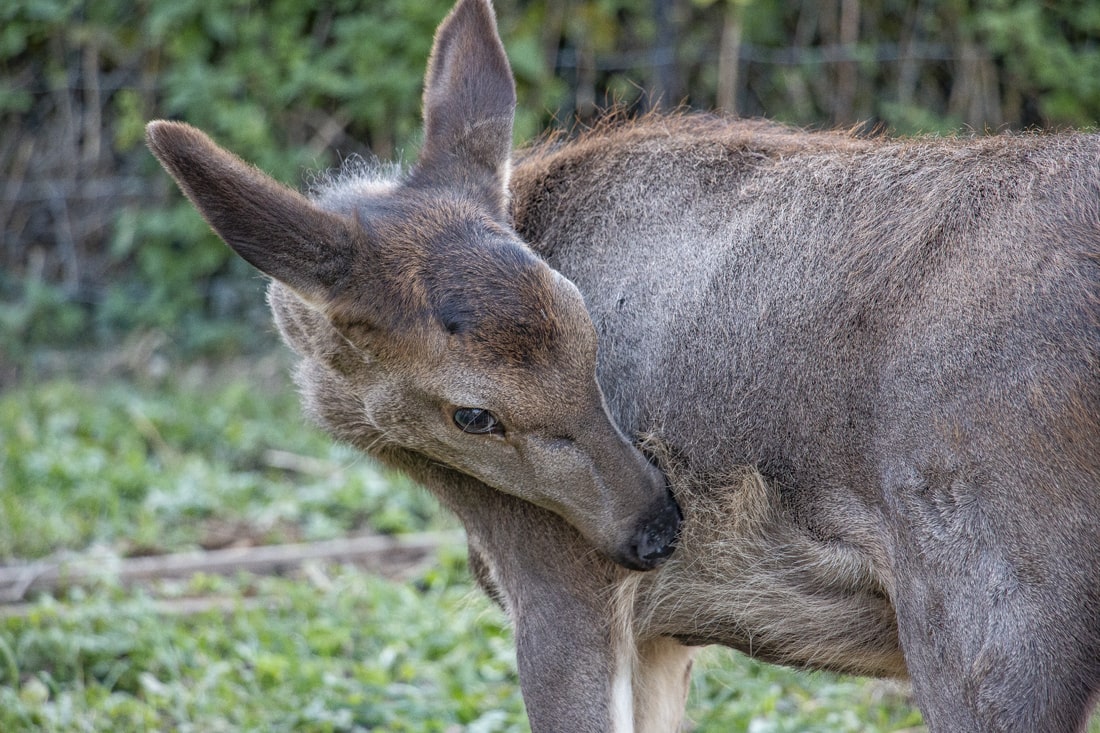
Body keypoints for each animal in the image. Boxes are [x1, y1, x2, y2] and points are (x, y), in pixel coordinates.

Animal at [146, 0, 1100, 726]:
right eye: (474, 412)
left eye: (593, 336)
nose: (656, 527)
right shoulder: (662, 631)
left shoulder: (564, 581)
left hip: (985, 603)